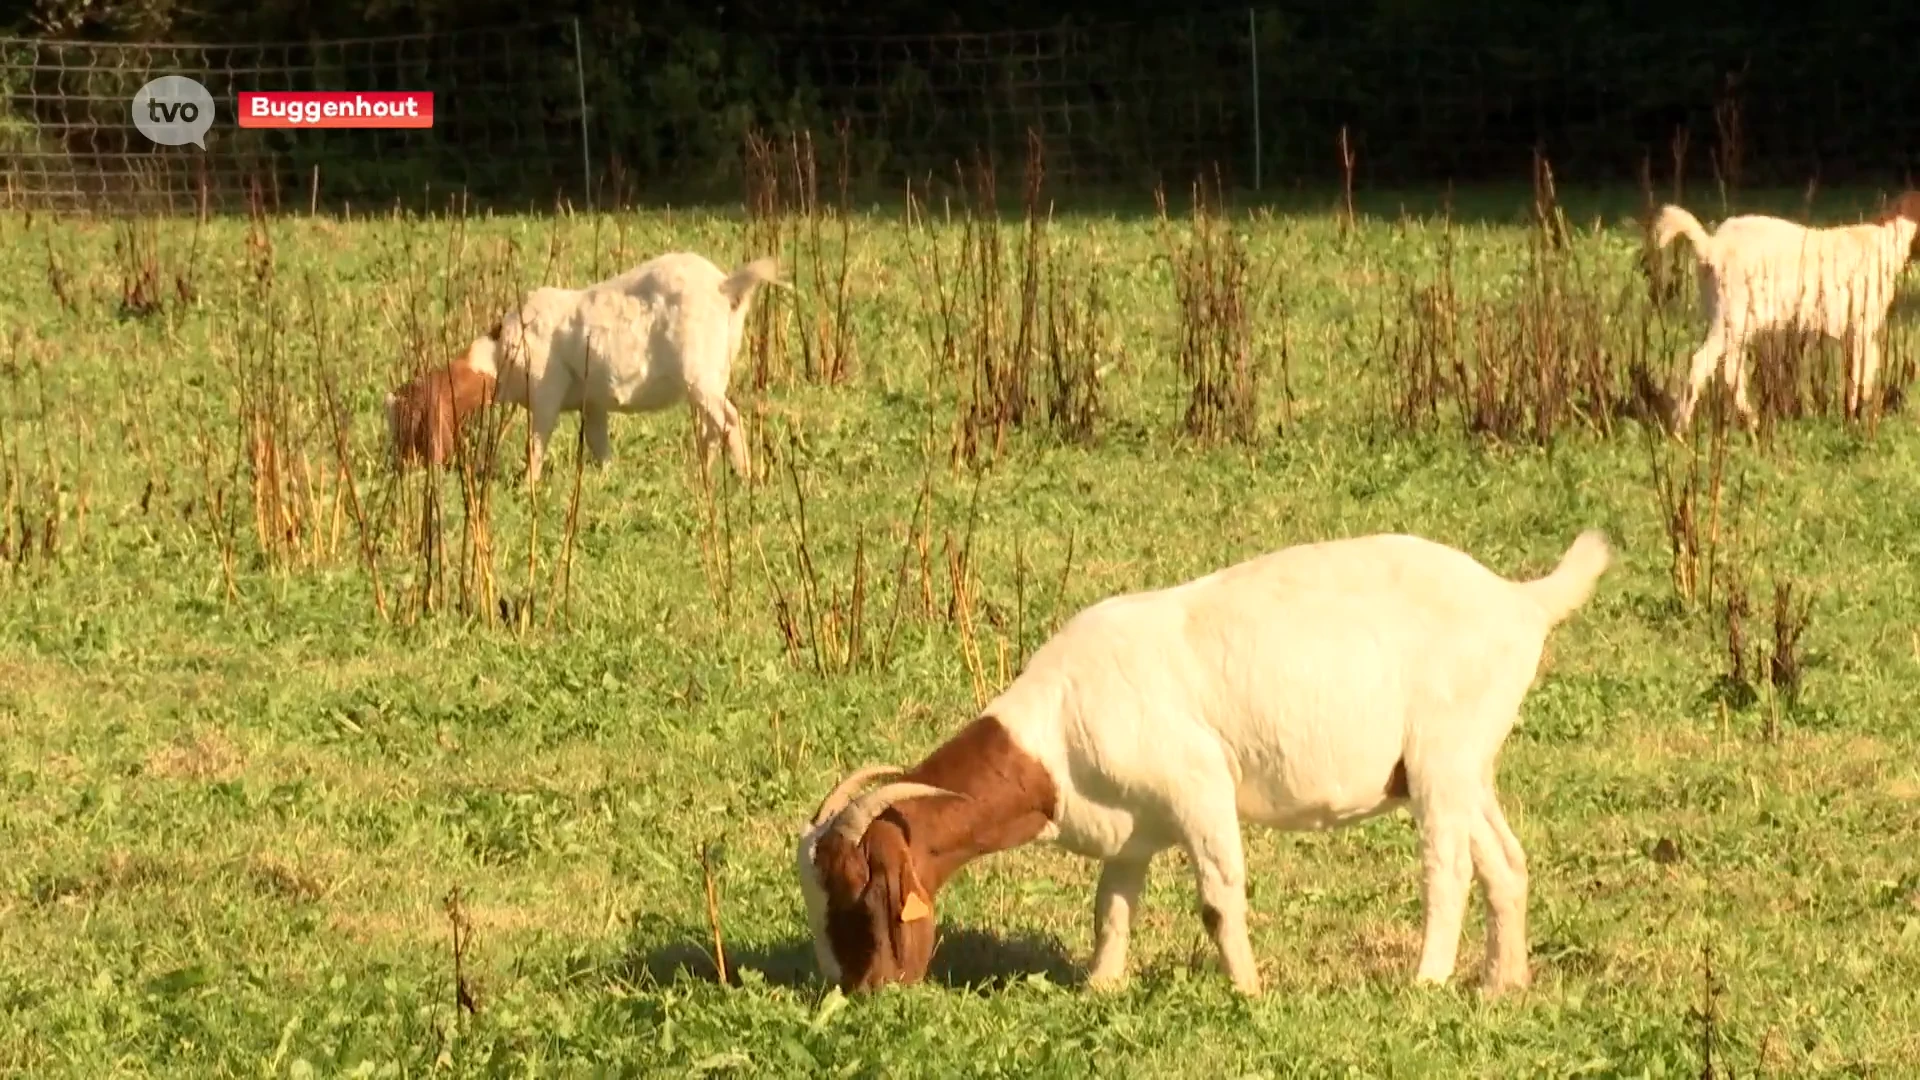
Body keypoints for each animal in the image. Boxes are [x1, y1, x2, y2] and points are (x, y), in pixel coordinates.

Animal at [380, 251, 779, 478]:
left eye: (406, 424)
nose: (403, 469)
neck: (498, 354)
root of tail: (725, 287)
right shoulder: (593, 402)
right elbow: (599, 443)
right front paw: (606, 478)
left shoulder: (545, 390)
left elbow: (537, 441)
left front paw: (527, 483)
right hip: (713, 374)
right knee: (712, 426)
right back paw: (703, 476)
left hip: (699, 371)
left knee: (729, 419)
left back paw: (747, 478)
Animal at [787, 526, 1612, 991]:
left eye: (859, 893)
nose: (860, 991)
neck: (1057, 725)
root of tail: (1520, 600)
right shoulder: (1129, 829)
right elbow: (1111, 910)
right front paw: (1101, 989)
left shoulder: (1198, 788)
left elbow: (1218, 900)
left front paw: (1249, 993)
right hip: (1466, 764)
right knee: (1505, 861)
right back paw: (1502, 985)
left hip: (1441, 756)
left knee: (1449, 870)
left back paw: (1427, 984)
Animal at [1651, 191, 1920, 430]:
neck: (1883, 243)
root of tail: (1710, 247)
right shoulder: (1863, 323)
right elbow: (1862, 372)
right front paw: (1857, 418)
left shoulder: (1856, 329)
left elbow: (1860, 372)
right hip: (1731, 316)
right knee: (1701, 364)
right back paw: (1680, 430)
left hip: (1732, 319)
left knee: (1730, 371)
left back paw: (1752, 422)